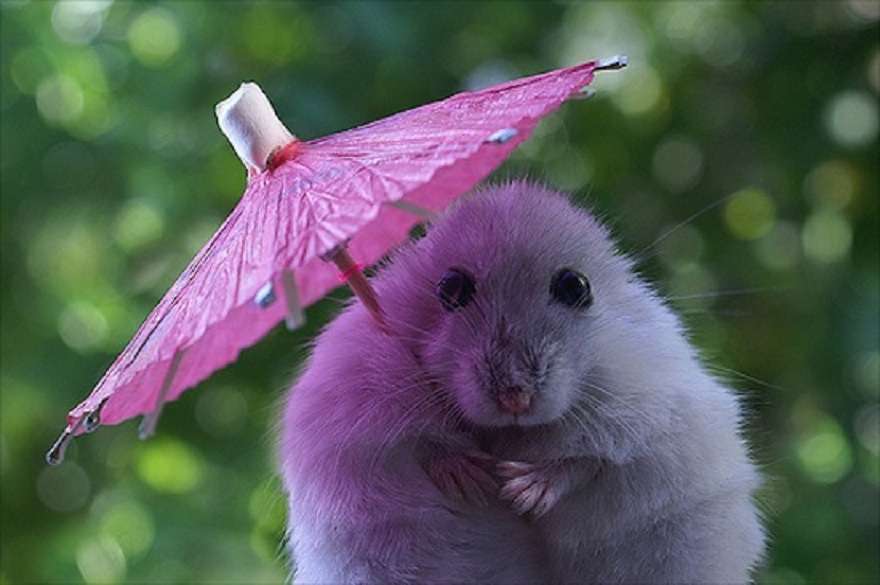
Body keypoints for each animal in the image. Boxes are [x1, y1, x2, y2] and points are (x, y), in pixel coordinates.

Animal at [278, 181, 765, 583]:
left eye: (575, 286)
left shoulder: (649, 400)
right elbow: (421, 443)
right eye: (450, 287)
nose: (515, 398)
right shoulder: (353, 395)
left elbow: (588, 458)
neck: (506, 432)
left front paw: (521, 492)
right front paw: (475, 479)